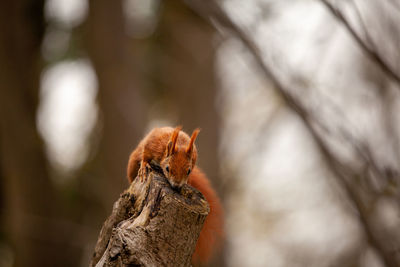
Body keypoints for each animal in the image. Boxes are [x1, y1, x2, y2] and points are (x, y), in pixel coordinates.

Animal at [126, 126, 223, 264]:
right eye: (167, 168)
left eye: (188, 171)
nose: (176, 186)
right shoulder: (152, 145)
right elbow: (145, 156)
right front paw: (144, 166)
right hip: (133, 161)